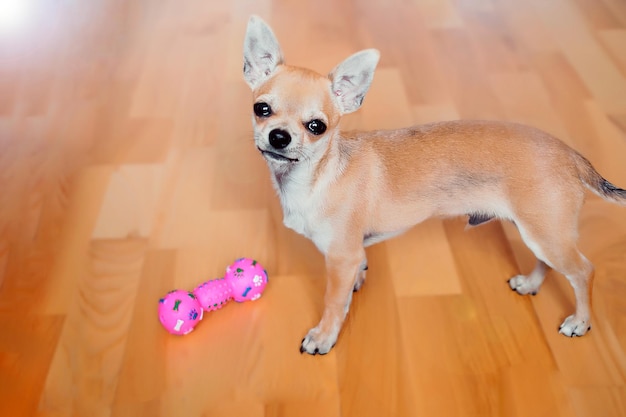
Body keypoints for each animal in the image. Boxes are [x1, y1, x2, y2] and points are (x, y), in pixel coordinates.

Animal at [243, 16, 624, 354]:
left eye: (316, 126)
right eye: (261, 109)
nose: (278, 136)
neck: (319, 175)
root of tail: (571, 154)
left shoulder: (340, 258)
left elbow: (333, 302)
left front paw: (323, 336)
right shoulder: (352, 253)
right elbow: (357, 273)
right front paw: (358, 283)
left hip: (546, 233)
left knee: (584, 271)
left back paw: (580, 322)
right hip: (539, 231)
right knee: (549, 263)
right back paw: (530, 284)